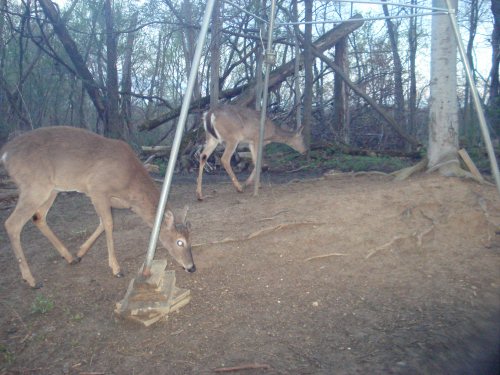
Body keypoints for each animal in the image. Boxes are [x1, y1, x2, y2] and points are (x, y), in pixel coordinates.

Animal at [1, 128, 195, 290]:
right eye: (179, 242)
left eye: (190, 238)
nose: (192, 267)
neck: (129, 185)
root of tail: (5, 153)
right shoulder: (97, 189)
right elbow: (109, 224)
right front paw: (116, 269)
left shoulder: (108, 199)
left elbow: (103, 223)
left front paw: (80, 252)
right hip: (34, 186)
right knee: (12, 223)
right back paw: (32, 280)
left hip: (51, 189)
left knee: (38, 217)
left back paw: (70, 258)